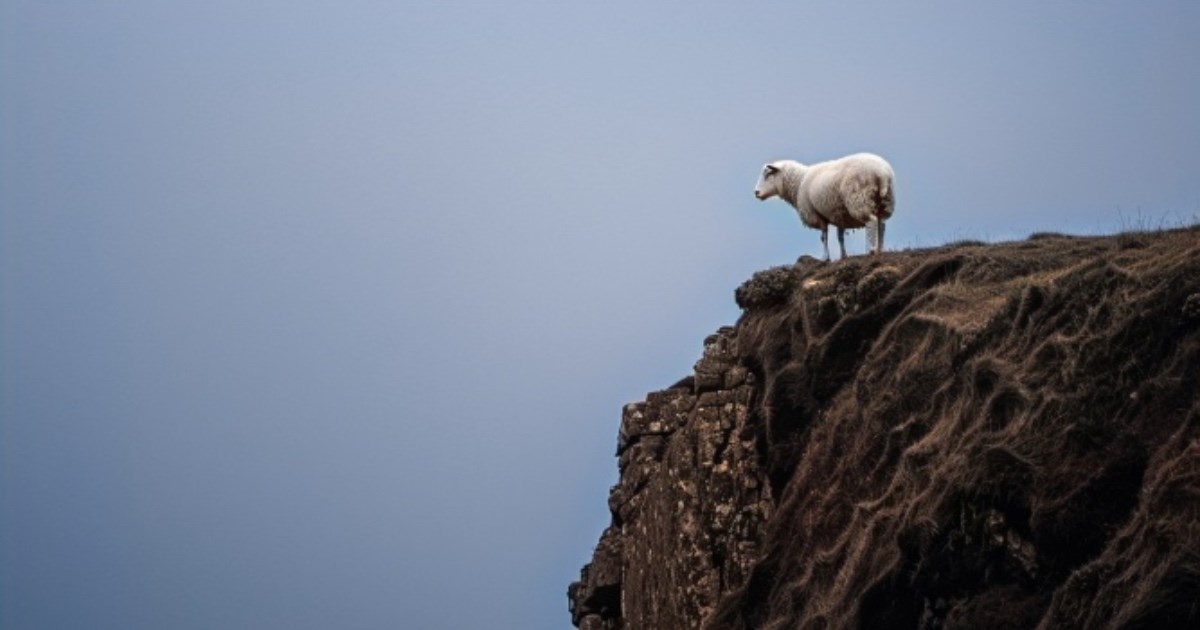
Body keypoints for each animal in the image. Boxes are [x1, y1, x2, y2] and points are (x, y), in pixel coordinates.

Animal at [753, 153, 897, 259]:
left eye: (768, 174)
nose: (756, 192)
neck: (799, 181)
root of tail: (882, 173)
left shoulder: (816, 214)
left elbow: (823, 237)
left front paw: (825, 258)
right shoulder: (839, 214)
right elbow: (840, 237)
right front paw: (843, 256)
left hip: (859, 199)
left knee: (871, 221)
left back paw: (870, 250)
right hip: (885, 202)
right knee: (881, 223)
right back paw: (880, 249)